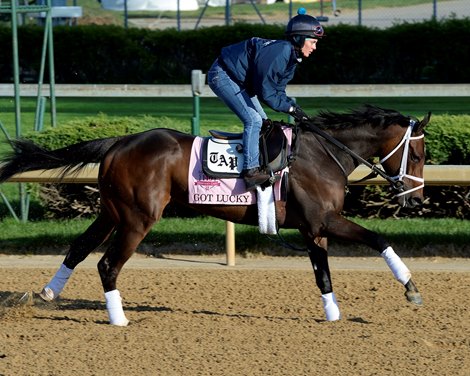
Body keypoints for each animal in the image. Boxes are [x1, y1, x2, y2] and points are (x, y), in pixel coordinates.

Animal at [0, 104, 432, 324]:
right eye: (418, 152)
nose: (415, 198)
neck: (324, 154)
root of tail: (119, 142)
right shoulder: (322, 221)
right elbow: (377, 239)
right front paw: (411, 288)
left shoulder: (314, 229)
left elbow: (322, 272)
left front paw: (333, 314)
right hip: (138, 218)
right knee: (107, 263)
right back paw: (119, 319)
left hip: (111, 211)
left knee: (79, 248)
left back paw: (47, 292)